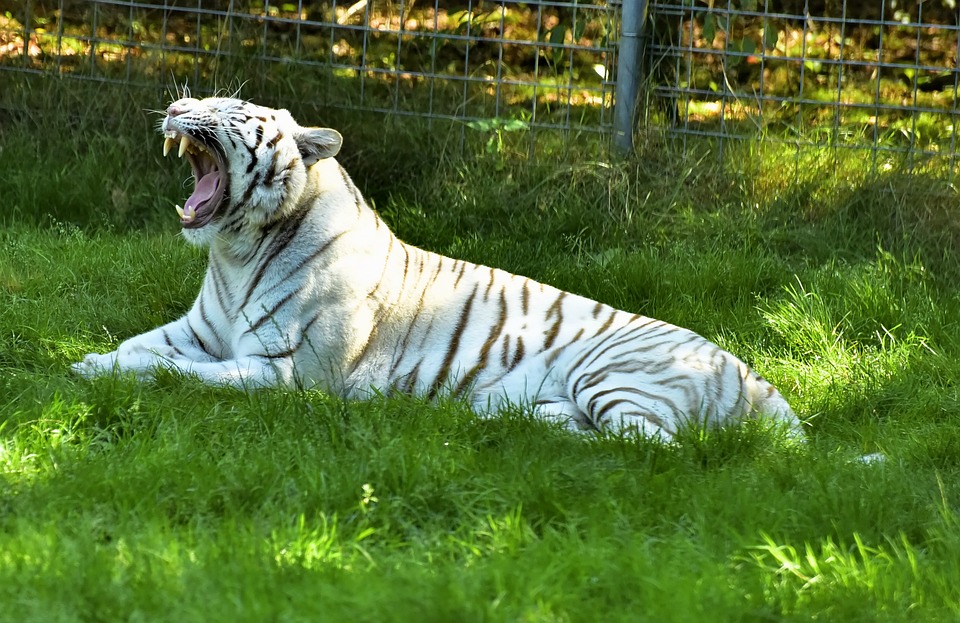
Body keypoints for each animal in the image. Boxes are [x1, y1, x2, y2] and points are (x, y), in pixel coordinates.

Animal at [72, 96, 803, 441]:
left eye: (229, 110)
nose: (173, 108)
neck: (235, 250)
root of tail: (754, 377)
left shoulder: (281, 371)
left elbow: (174, 371)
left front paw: (108, 373)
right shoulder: (200, 328)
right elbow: (138, 345)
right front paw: (86, 362)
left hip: (613, 377)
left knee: (653, 450)